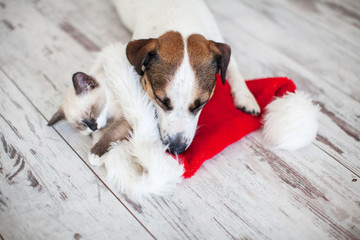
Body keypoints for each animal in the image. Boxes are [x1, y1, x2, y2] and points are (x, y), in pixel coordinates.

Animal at [112, 0, 258, 154]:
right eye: (160, 100)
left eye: (201, 103)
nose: (177, 148)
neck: (181, 20)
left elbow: (233, 69)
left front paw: (246, 96)